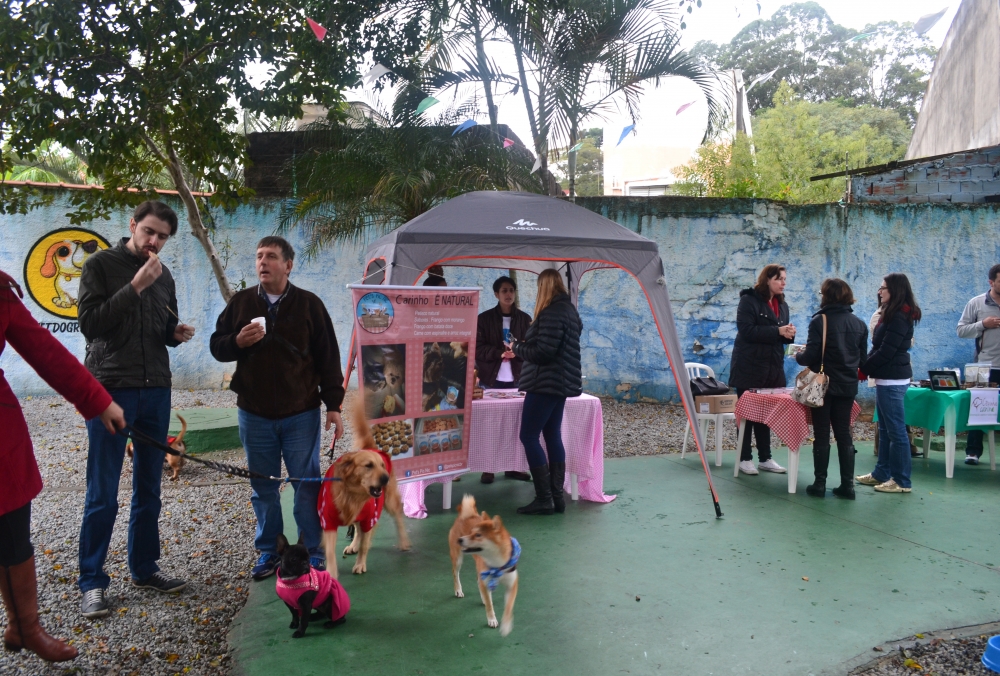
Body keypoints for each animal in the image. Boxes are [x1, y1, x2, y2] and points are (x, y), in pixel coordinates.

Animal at [322, 398, 412, 580]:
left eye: (381, 465)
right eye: (368, 466)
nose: (385, 478)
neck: (351, 496)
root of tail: (370, 446)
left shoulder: (369, 516)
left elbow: (365, 543)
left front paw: (360, 564)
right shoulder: (329, 522)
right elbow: (330, 552)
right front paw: (331, 573)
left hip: (389, 502)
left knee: (397, 516)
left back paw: (403, 542)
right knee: (357, 530)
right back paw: (354, 545)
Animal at [450, 494, 520, 636]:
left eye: (478, 535)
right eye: (470, 532)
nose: (460, 539)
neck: (498, 564)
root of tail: (465, 515)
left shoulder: (512, 584)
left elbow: (509, 606)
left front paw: (506, 625)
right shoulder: (486, 579)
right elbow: (489, 605)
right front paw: (492, 619)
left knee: (479, 582)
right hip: (458, 559)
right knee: (456, 574)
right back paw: (458, 590)